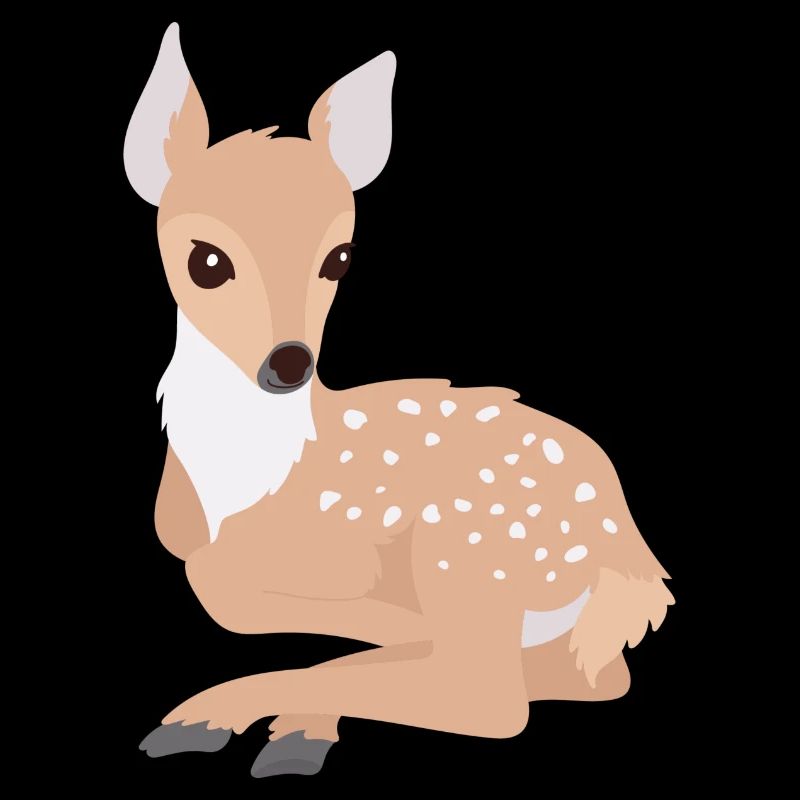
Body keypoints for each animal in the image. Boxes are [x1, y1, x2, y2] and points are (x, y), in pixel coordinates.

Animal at [127, 23, 674, 779]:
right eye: (206, 260)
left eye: (341, 257)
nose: (289, 365)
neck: (244, 484)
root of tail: (631, 556)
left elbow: (232, 592)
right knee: (585, 678)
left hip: (467, 543)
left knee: (494, 698)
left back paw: (239, 722)